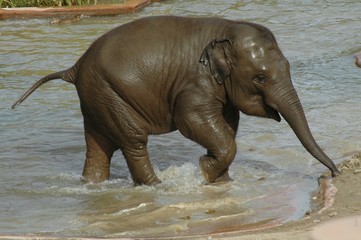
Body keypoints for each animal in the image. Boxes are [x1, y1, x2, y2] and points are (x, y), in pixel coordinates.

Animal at [11, 15, 338, 185]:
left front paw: (219, 181)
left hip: (97, 97)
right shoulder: (195, 85)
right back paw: (157, 187)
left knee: (98, 147)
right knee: (133, 140)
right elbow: (191, 121)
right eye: (260, 78)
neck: (225, 29)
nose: (334, 173)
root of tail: (75, 66)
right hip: (109, 93)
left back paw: (94, 186)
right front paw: (205, 172)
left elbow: (228, 125)